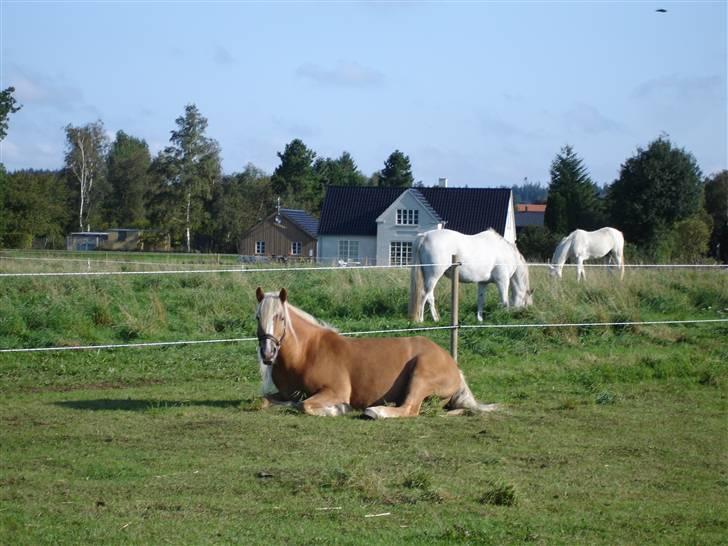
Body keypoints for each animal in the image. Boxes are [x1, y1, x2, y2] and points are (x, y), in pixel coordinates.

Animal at [253, 284, 498, 416]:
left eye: (280, 317)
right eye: (257, 317)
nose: (267, 353)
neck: (306, 354)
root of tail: (454, 366)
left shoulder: (335, 391)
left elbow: (305, 405)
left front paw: (339, 409)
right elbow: (265, 401)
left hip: (420, 377)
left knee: (408, 409)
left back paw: (374, 412)